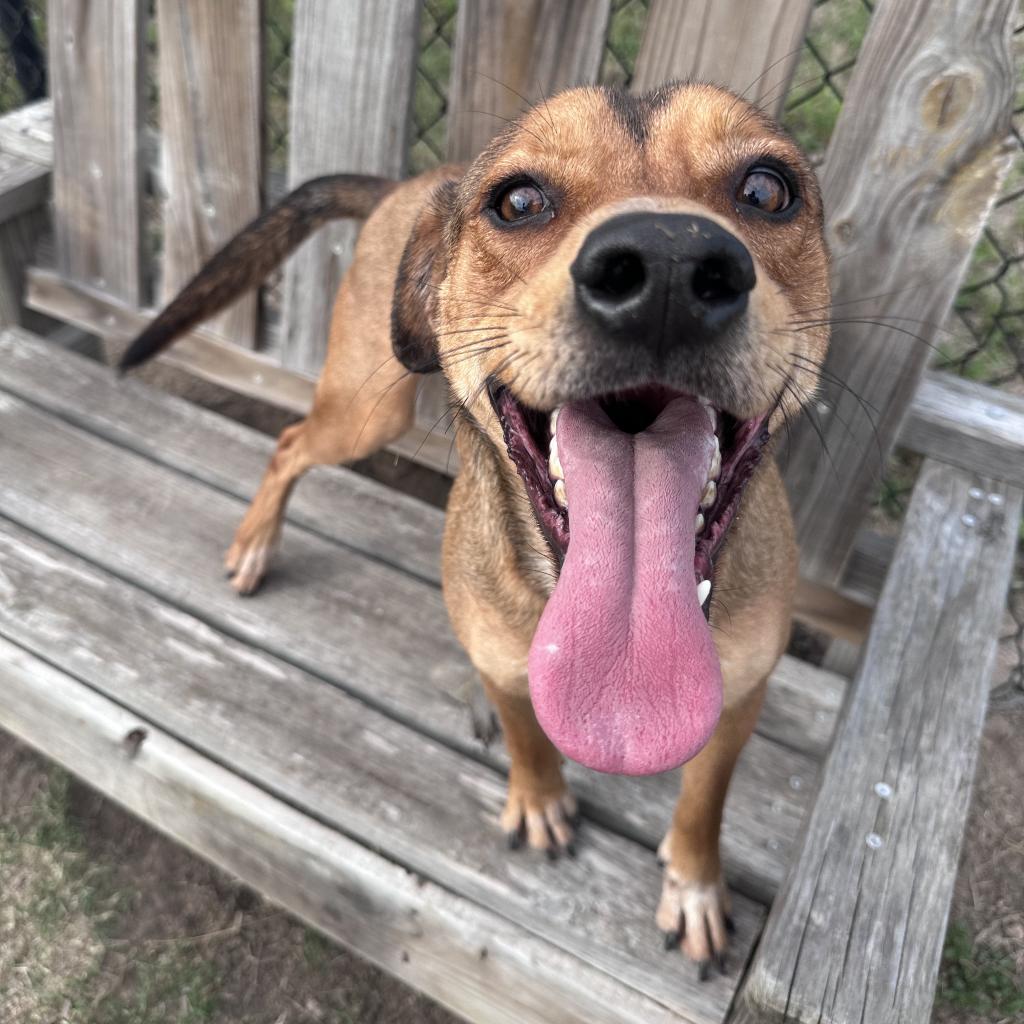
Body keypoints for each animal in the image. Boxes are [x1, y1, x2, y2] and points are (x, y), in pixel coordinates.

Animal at [123, 81, 835, 974]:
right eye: (519, 201)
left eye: (767, 190)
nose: (669, 265)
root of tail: (415, 183)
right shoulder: (507, 666)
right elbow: (529, 741)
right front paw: (539, 799)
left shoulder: (740, 701)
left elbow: (705, 801)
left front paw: (695, 884)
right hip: (367, 409)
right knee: (289, 443)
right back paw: (256, 544)